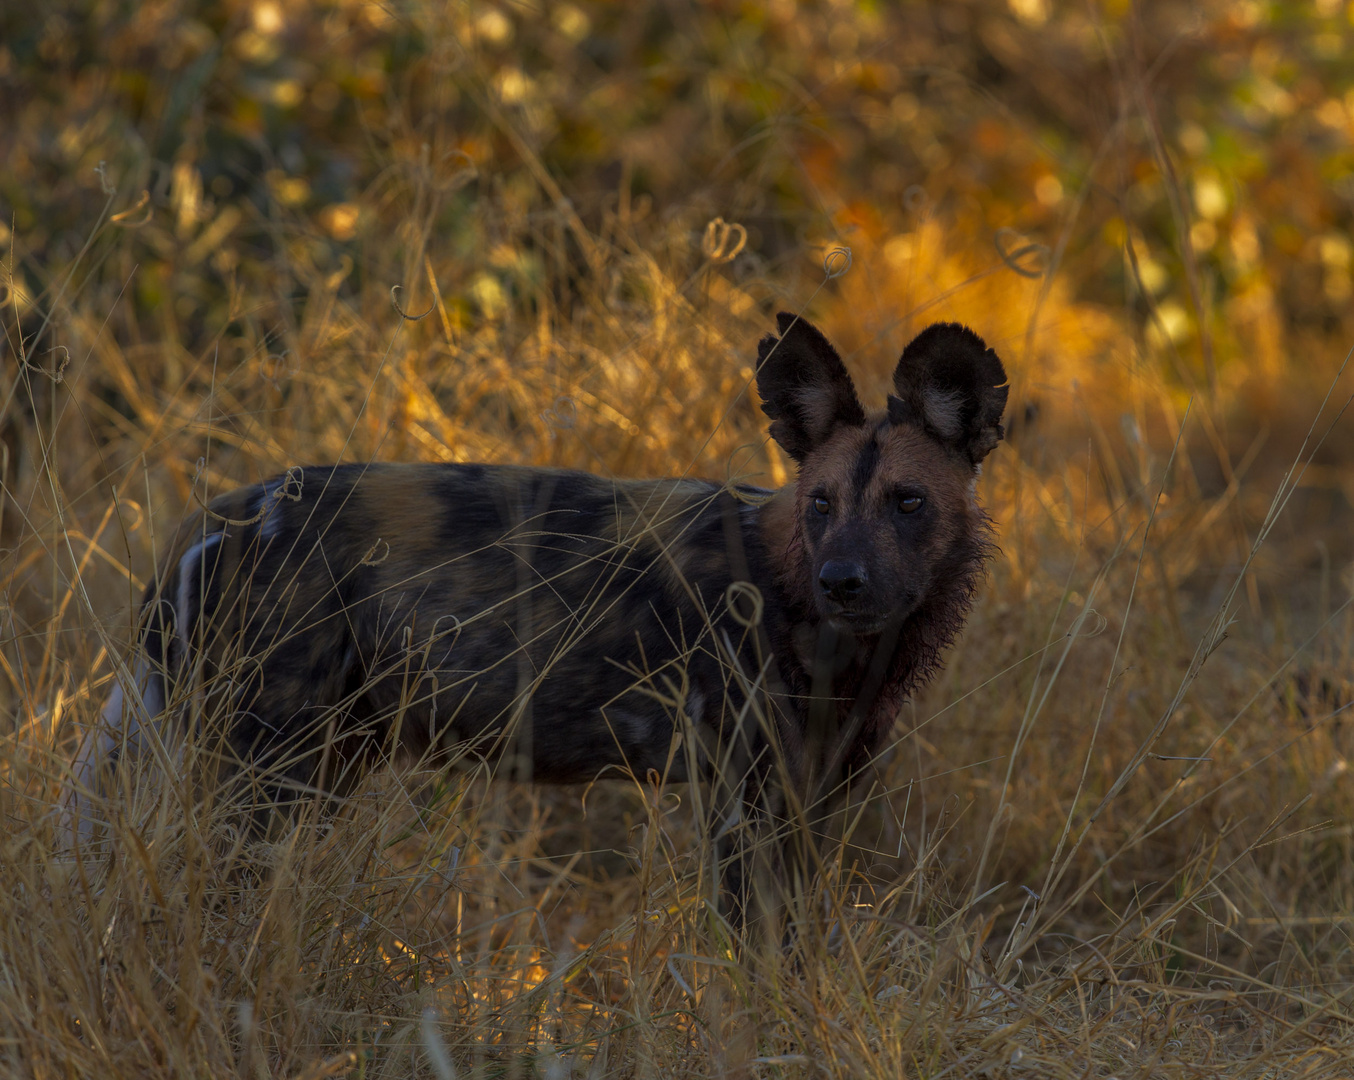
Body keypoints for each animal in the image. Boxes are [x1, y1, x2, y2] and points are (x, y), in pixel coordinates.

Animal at [71, 311, 1007, 920]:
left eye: (908, 502)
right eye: (820, 504)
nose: (842, 580)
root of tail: (223, 516)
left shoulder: (812, 796)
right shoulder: (745, 797)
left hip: (326, 760)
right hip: (270, 768)